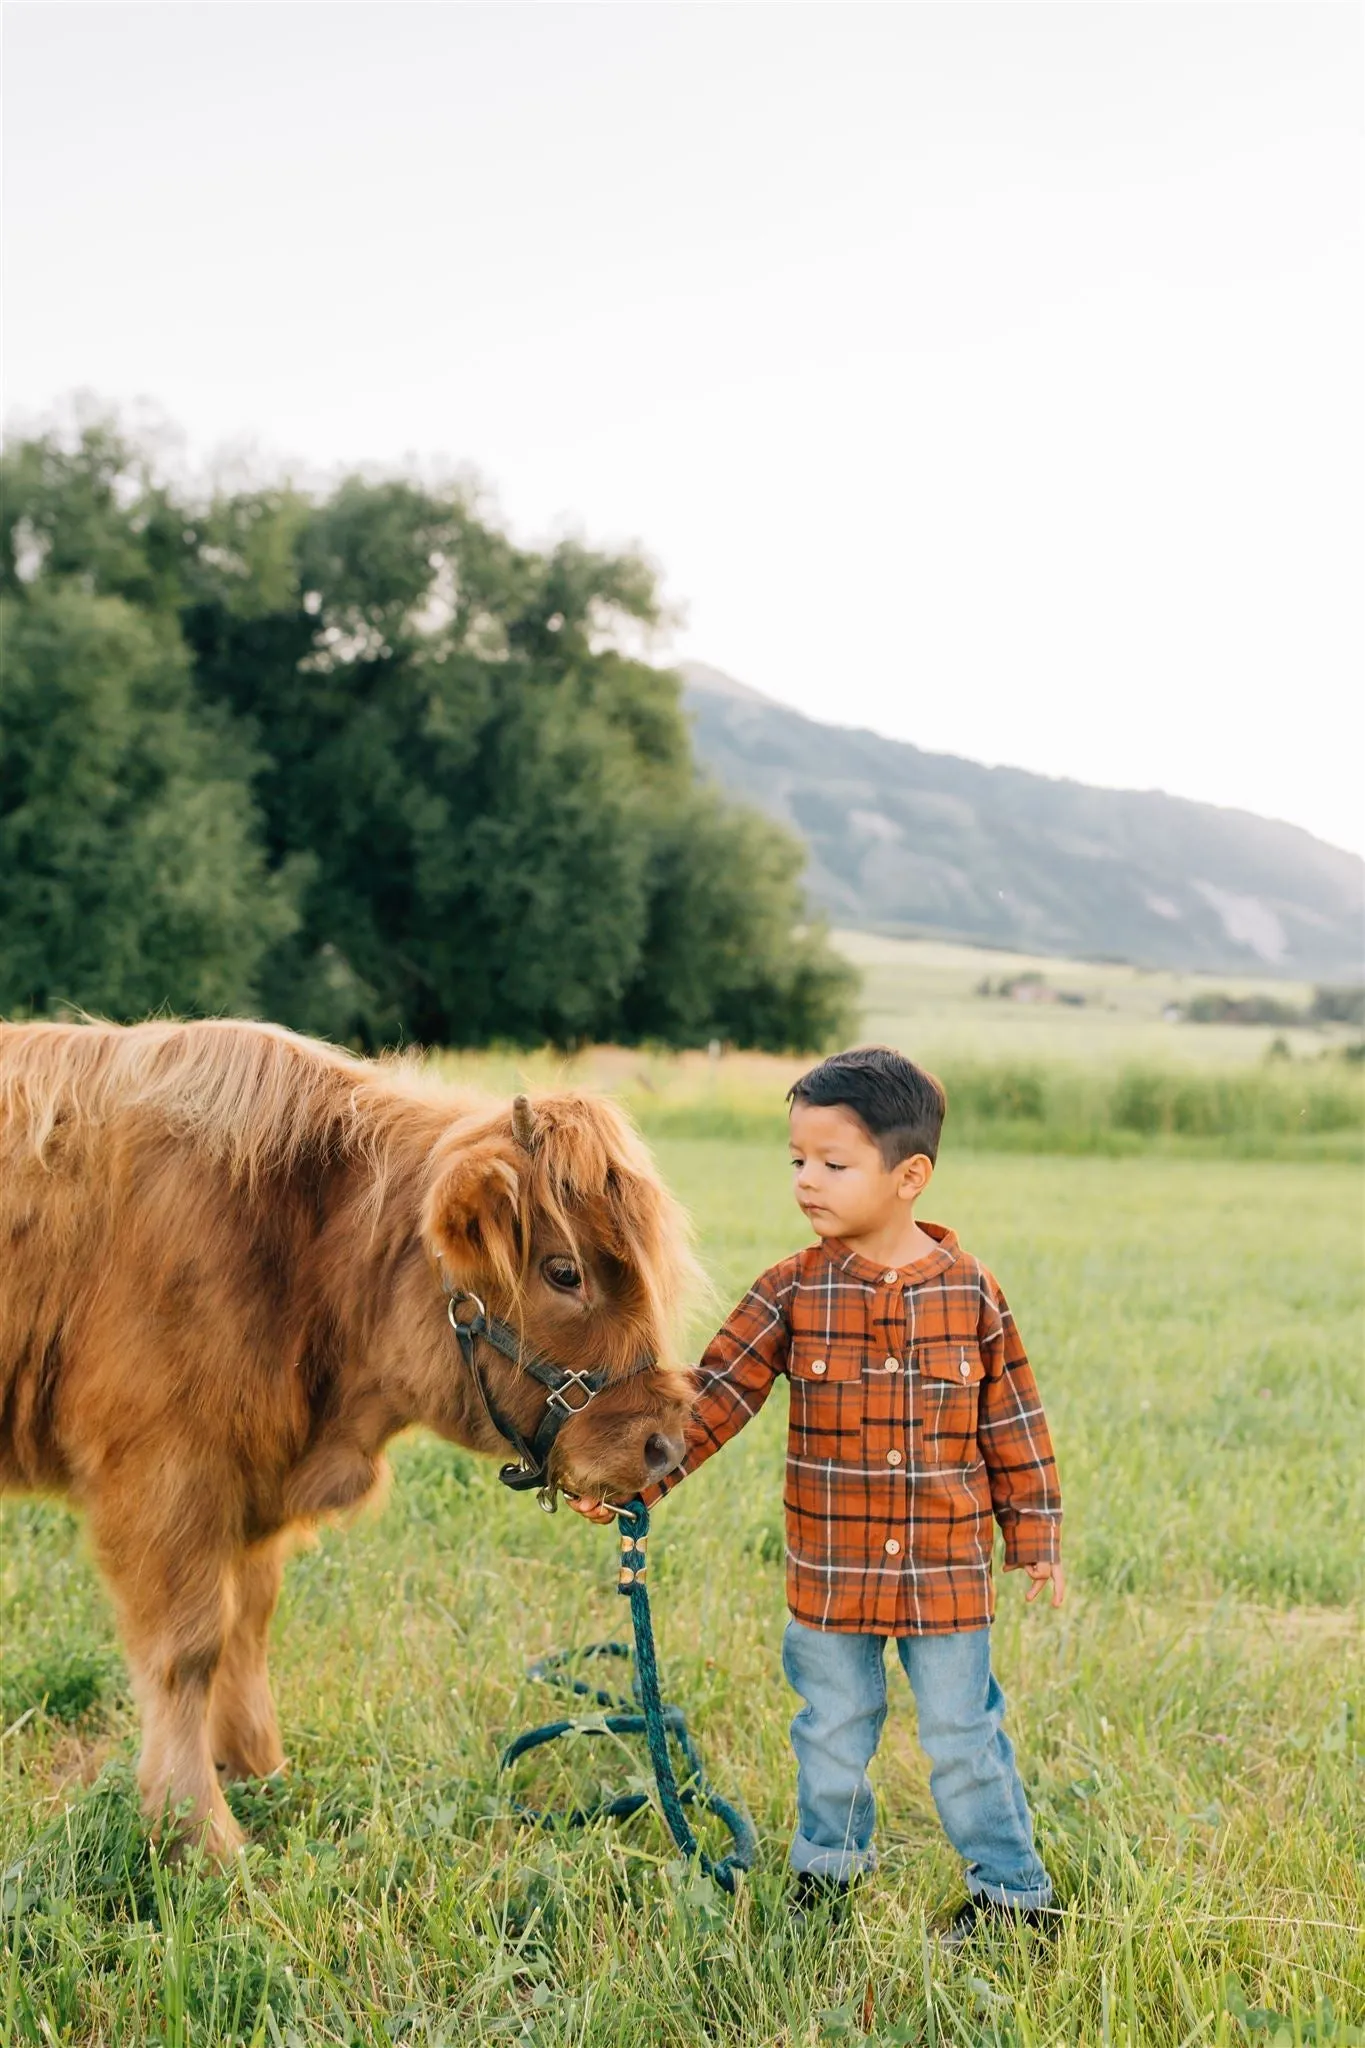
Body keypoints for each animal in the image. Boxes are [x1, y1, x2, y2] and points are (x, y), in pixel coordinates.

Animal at [0, 1015, 699, 1867]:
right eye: (564, 1272)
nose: (665, 1444)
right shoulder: (164, 1471)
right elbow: (189, 1647)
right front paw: (200, 1833)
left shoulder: (249, 1480)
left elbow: (247, 1625)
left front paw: (260, 1769)